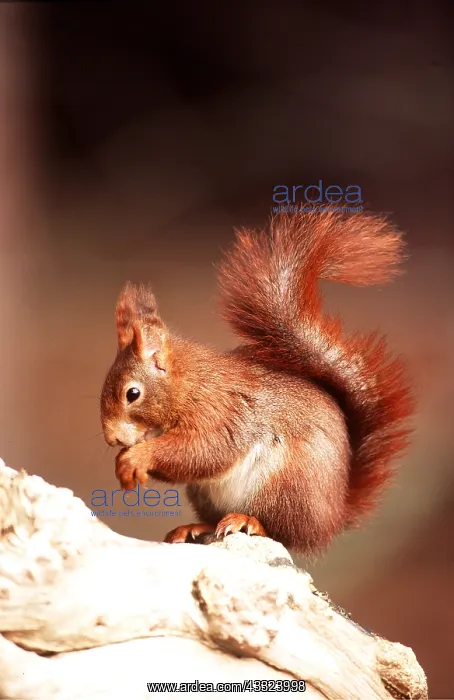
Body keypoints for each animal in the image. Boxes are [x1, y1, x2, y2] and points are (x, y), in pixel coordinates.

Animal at [100, 209, 414, 554]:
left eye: (132, 393)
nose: (112, 438)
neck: (188, 384)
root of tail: (331, 519)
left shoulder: (220, 411)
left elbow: (202, 450)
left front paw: (136, 457)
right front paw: (122, 463)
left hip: (284, 486)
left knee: (282, 531)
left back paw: (247, 521)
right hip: (207, 494)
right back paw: (196, 527)